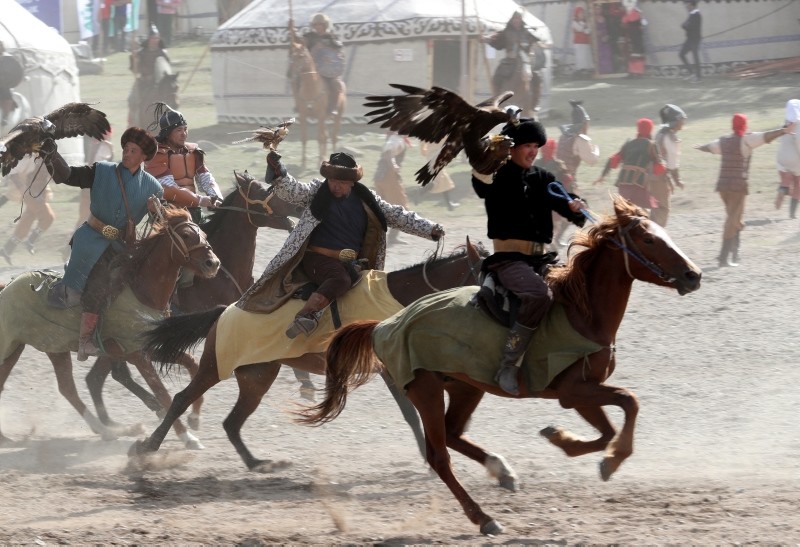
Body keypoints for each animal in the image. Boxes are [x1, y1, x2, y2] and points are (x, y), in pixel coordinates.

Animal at [0, 208, 219, 448]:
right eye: (187, 235)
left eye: (204, 235)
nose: (213, 263)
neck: (141, 293)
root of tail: (7, 285)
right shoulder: (137, 355)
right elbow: (162, 393)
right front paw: (187, 437)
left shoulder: (150, 348)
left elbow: (193, 364)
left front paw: (194, 415)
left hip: (33, 348)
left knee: (66, 388)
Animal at [130, 240, 488, 470]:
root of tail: (223, 313)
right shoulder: (390, 368)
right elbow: (412, 412)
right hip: (216, 367)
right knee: (182, 399)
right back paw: (148, 448)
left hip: (257, 377)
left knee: (232, 422)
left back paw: (257, 463)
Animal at [298, 197, 700, 536]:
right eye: (648, 239)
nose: (693, 275)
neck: (581, 312)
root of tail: (386, 323)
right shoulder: (576, 390)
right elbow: (629, 402)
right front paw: (612, 460)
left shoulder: (580, 394)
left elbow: (606, 429)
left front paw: (566, 441)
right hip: (425, 390)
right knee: (439, 454)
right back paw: (483, 517)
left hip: (465, 386)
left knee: (454, 435)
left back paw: (502, 471)